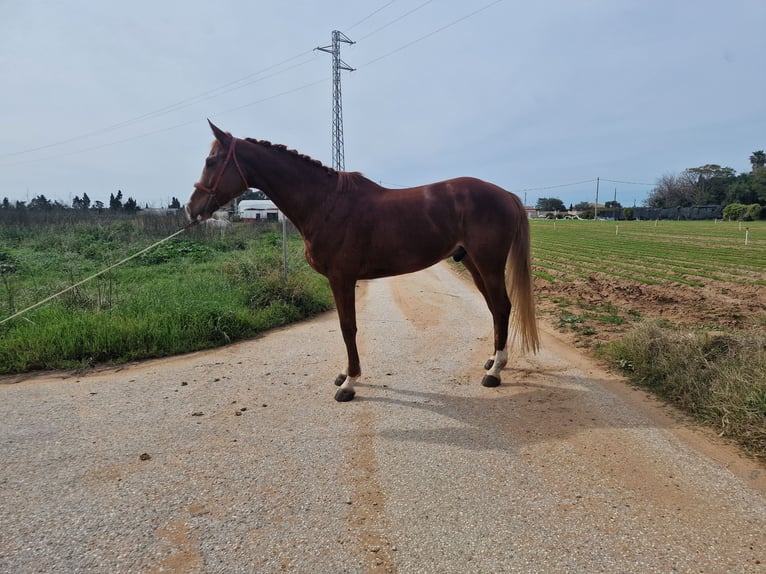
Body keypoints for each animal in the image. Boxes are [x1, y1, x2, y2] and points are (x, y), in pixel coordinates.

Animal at [186, 119, 540, 402]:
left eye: (211, 161)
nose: (192, 208)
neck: (326, 202)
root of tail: (506, 194)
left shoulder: (342, 278)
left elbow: (348, 327)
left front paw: (350, 383)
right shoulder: (340, 279)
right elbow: (347, 327)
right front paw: (345, 375)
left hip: (489, 263)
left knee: (503, 306)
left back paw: (494, 372)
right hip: (472, 262)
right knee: (495, 308)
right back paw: (492, 360)